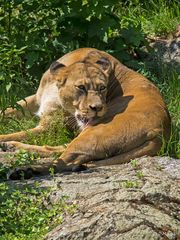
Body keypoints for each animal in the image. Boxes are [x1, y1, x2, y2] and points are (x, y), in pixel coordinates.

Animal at [0, 48, 170, 178]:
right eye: (81, 87)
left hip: (93, 133)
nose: (98, 108)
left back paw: (23, 170)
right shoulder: (35, 100)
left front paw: (4, 139)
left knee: (65, 161)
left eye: (102, 88)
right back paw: (12, 148)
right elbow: (6, 111)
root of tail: (160, 131)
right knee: (62, 151)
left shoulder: (49, 127)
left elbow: (18, 133)